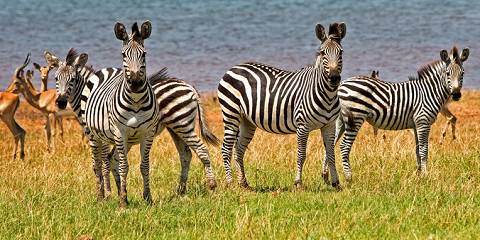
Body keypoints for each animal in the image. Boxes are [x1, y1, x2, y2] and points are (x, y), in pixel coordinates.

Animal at [217, 22, 344, 189]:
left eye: (341, 53)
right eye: (322, 53)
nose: (334, 78)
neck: (327, 95)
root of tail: (232, 68)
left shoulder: (329, 125)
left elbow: (330, 154)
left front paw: (336, 184)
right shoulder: (302, 126)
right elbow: (301, 155)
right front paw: (298, 183)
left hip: (247, 120)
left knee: (239, 149)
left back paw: (244, 183)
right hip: (230, 113)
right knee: (226, 148)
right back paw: (230, 183)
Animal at [334, 46, 468, 181]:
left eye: (462, 73)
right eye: (447, 73)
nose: (456, 95)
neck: (429, 92)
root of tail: (342, 84)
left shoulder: (416, 124)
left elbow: (417, 149)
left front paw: (418, 174)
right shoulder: (423, 122)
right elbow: (424, 149)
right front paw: (425, 175)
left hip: (341, 120)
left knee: (332, 143)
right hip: (355, 117)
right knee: (344, 146)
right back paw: (348, 177)